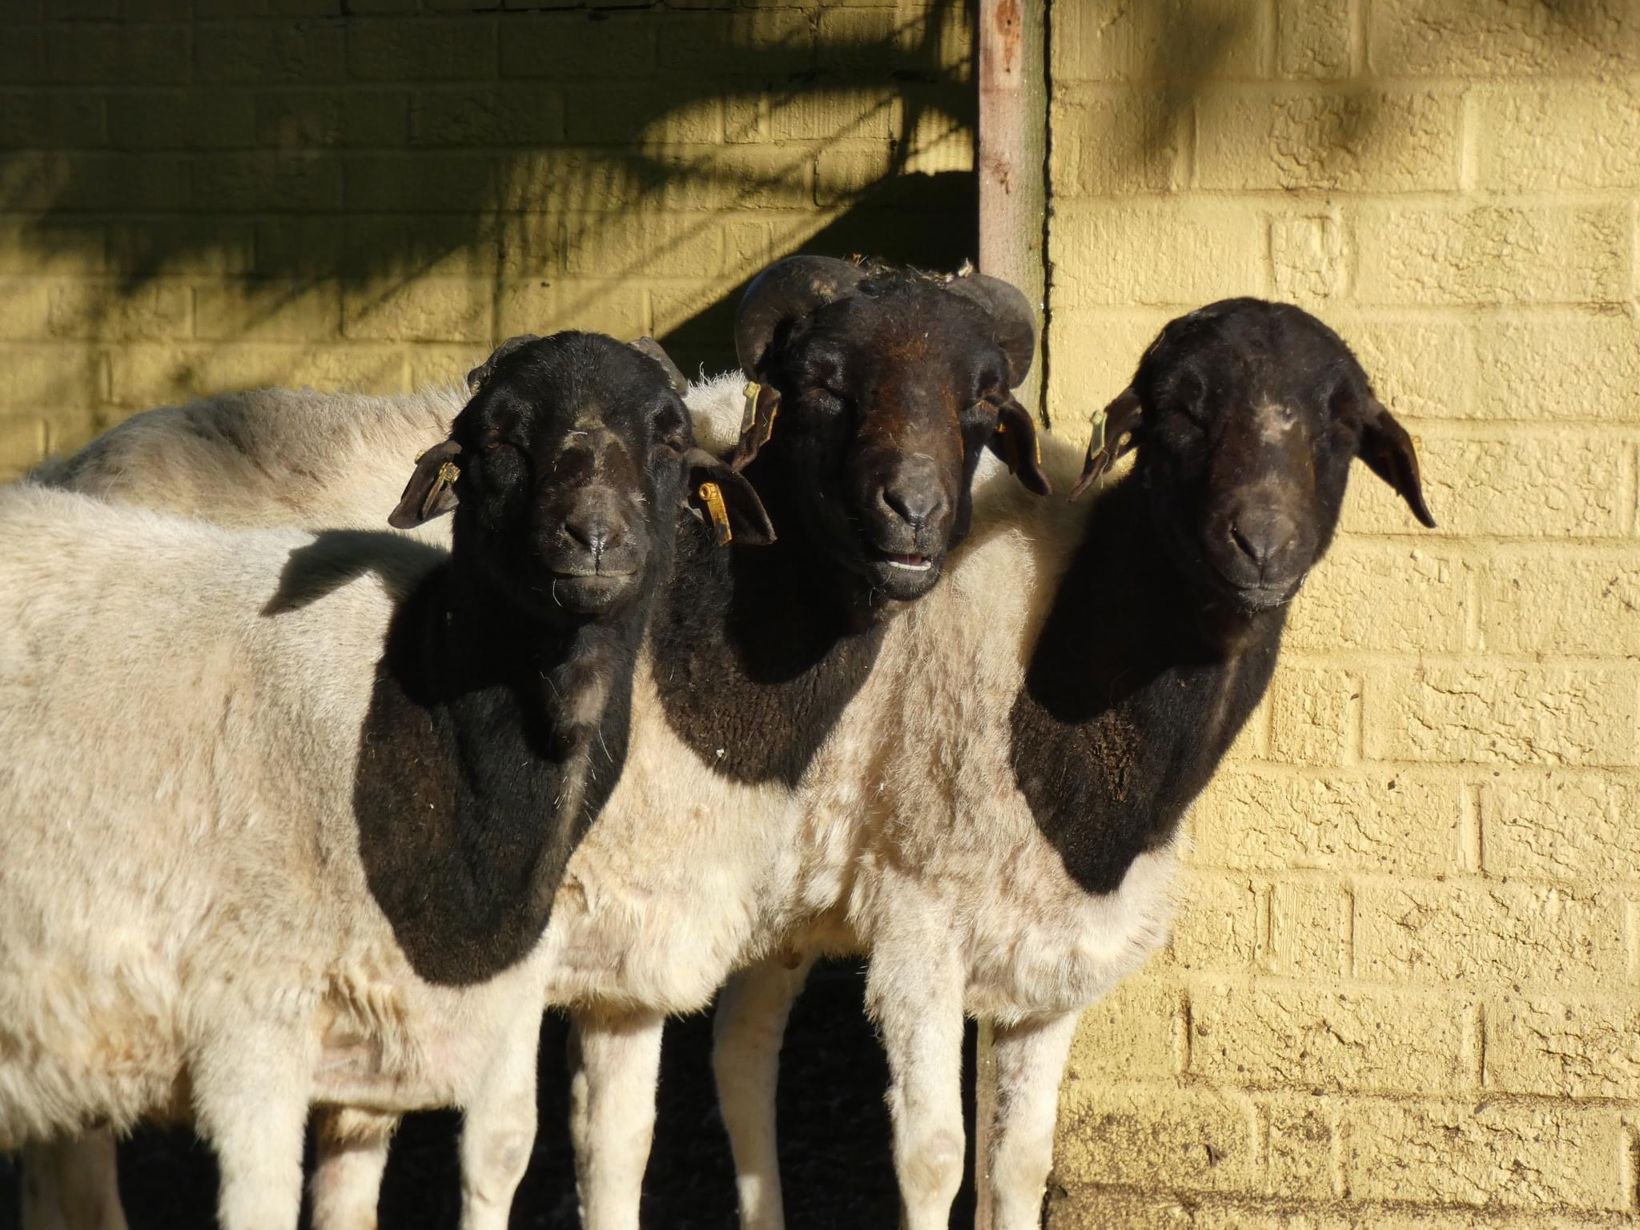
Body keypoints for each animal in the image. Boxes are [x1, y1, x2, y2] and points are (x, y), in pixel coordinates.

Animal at [708, 297, 1438, 1230]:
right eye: (1179, 411)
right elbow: (934, 1161)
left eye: (1343, 424)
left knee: (741, 1044)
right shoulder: (918, 921)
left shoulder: (1057, 945)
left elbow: (1021, 1161)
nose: (1263, 546)